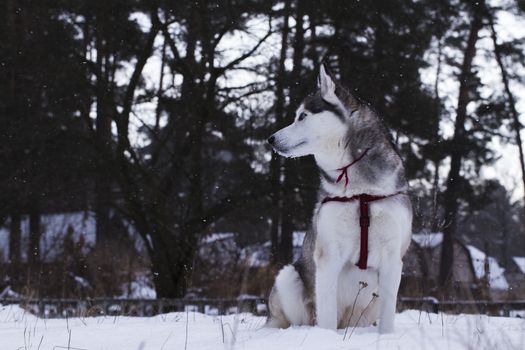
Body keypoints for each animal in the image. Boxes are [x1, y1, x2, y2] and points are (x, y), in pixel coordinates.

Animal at [266, 64, 410, 332]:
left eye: (302, 116)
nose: (270, 139)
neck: (361, 192)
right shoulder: (328, 255)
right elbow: (326, 313)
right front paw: (325, 337)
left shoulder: (393, 258)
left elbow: (388, 315)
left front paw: (386, 336)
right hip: (288, 277)